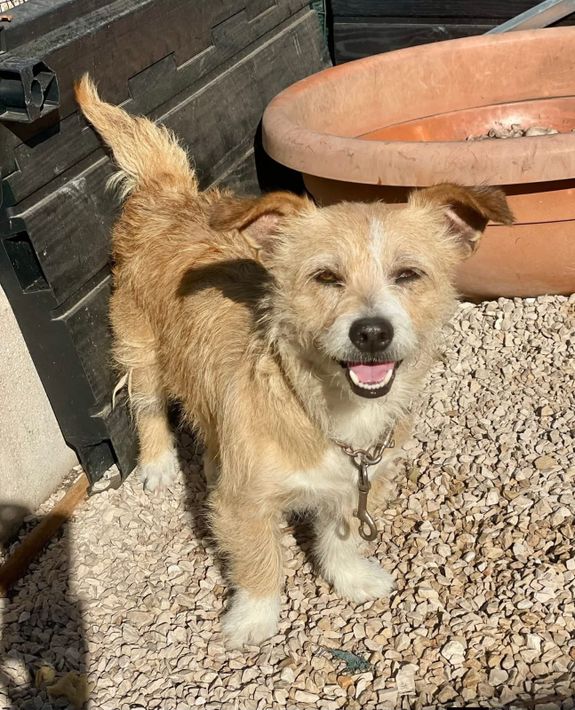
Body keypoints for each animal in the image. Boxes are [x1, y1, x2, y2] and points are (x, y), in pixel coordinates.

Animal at [76, 75, 513, 648]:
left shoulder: (357, 480)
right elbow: (259, 559)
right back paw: (158, 465)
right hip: (140, 347)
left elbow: (341, 536)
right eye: (326, 277)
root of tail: (168, 194)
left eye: (408, 275)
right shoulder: (242, 500)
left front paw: (350, 577)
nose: (372, 332)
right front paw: (254, 619)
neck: (328, 408)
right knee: (147, 406)